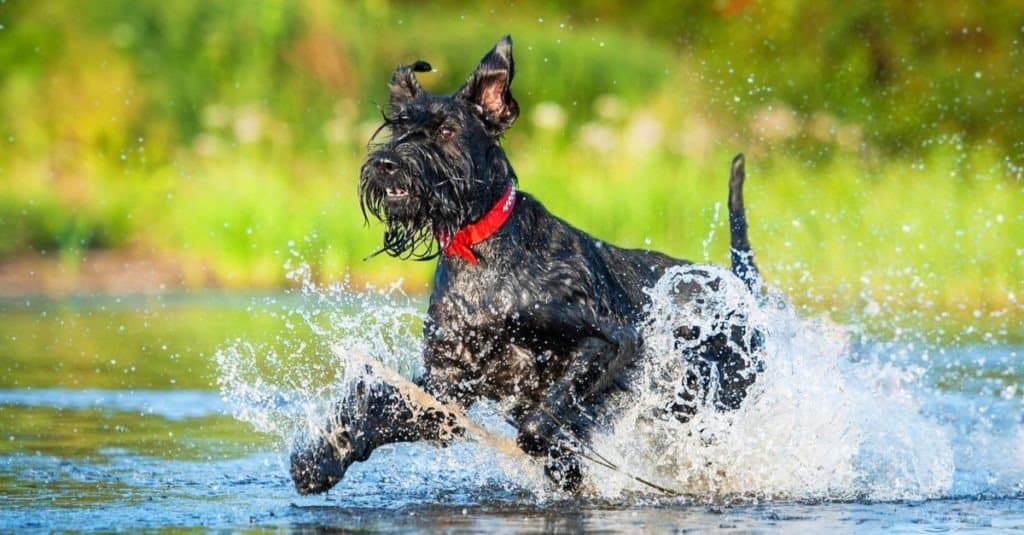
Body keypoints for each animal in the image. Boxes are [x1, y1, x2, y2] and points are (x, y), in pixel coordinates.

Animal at [292, 36, 765, 491]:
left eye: (446, 129)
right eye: (398, 126)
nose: (386, 163)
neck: (480, 254)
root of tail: (741, 290)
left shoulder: (609, 340)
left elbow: (542, 418)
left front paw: (557, 454)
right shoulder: (449, 388)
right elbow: (377, 411)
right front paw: (320, 459)